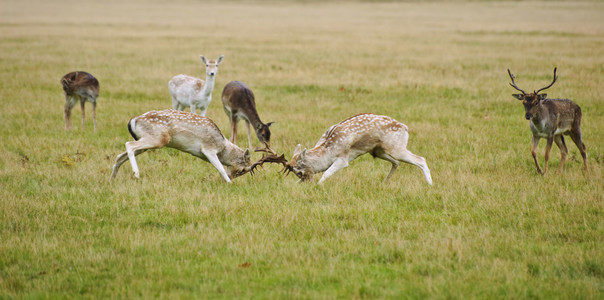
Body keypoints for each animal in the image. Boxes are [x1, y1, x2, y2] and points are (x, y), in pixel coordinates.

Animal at [109, 108, 280, 182]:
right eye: (244, 169)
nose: (233, 177)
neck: (223, 145)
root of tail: (133, 120)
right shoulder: (208, 149)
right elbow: (220, 168)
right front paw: (228, 182)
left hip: (147, 142)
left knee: (120, 156)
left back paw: (112, 180)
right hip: (157, 139)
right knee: (129, 145)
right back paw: (136, 174)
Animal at [266, 113, 432, 184]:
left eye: (299, 170)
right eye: (295, 173)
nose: (307, 181)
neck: (328, 149)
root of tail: (405, 128)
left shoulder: (343, 159)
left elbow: (326, 173)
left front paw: (319, 186)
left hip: (396, 148)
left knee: (421, 159)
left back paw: (430, 184)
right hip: (378, 151)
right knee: (396, 163)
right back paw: (384, 183)